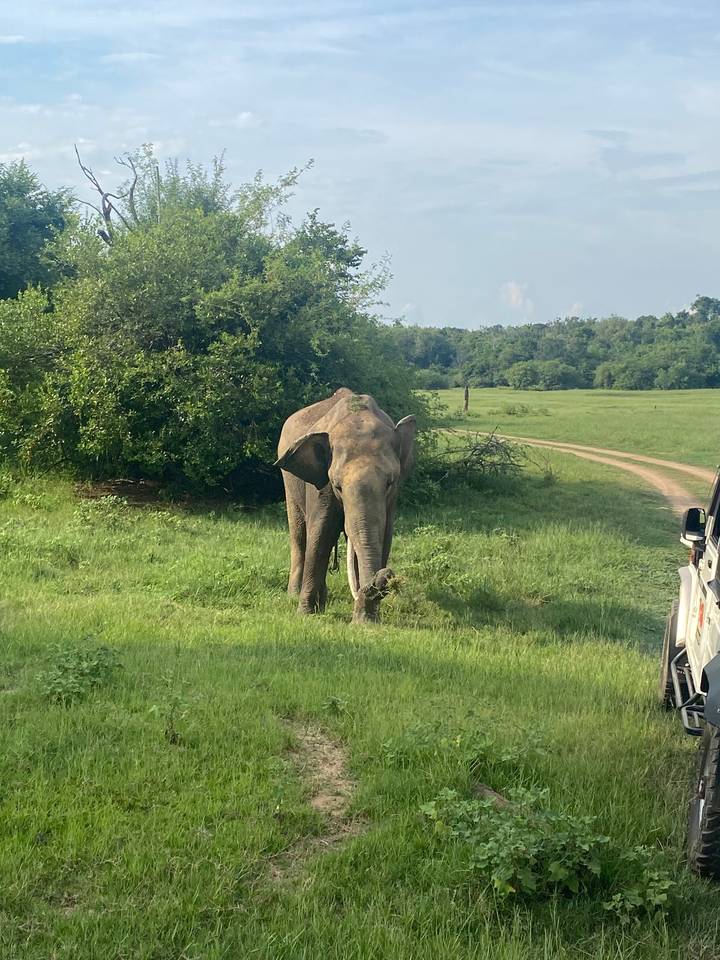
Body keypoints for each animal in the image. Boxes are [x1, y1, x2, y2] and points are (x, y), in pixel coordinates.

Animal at [274, 388, 416, 623]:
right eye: (337, 486)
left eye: (390, 482)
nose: (388, 574)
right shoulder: (321, 484)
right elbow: (320, 533)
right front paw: (305, 614)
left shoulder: (392, 498)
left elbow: (384, 536)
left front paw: (367, 620)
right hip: (288, 481)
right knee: (300, 535)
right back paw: (295, 595)